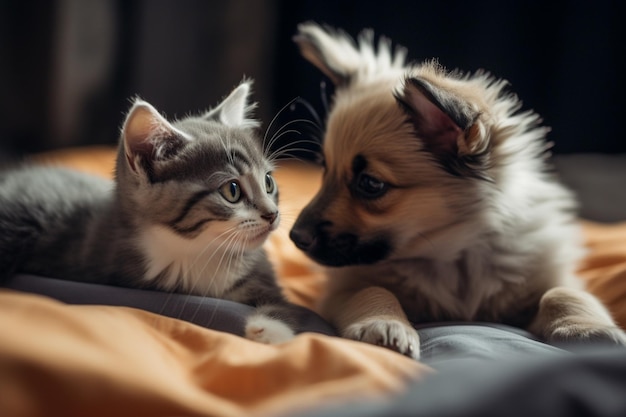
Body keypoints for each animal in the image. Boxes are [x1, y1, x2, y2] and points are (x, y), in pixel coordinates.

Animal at [0, 81, 302, 344]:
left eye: (268, 182)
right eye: (232, 191)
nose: (272, 214)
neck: (197, 253)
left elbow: (285, 305)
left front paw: (271, 330)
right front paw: (271, 333)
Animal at [288, 22, 624, 358]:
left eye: (371, 184)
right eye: (324, 168)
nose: (295, 237)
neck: (452, 256)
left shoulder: (551, 278)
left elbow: (563, 292)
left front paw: (587, 328)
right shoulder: (342, 288)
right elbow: (373, 288)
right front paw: (384, 324)